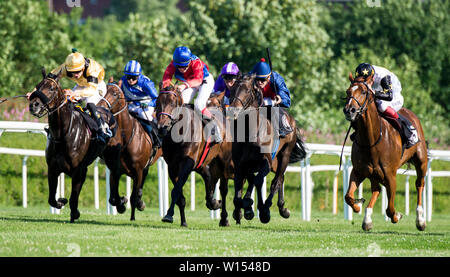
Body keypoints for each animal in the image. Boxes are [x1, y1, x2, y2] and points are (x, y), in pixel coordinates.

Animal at [28, 68, 116, 222]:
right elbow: (51, 198)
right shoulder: (53, 169)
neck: (62, 134)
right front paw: (61, 201)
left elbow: (74, 197)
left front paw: (75, 213)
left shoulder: (79, 171)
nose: (34, 105)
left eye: (51, 88)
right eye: (37, 86)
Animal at [97, 80, 163, 220]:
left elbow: (133, 197)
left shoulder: (137, 171)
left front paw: (132, 216)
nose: (101, 106)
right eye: (103, 91)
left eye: (115, 94)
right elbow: (113, 198)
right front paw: (122, 203)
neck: (125, 139)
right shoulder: (114, 170)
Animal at [156, 83, 232, 224]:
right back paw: (212, 202)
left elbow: (176, 190)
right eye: (157, 102)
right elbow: (179, 195)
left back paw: (224, 218)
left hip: (223, 161)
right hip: (203, 163)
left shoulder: (187, 163)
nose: (161, 127)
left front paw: (168, 214)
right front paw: (183, 221)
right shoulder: (172, 167)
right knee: (208, 177)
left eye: (173, 103)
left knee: (223, 189)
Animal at [230, 74, 308, 223]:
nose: (233, 111)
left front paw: (260, 209)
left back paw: (271, 207)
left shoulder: (265, 162)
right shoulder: (240, 164)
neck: (251, 133)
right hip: (274, 162)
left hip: (284, 156)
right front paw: (242, 209)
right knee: (279, 178)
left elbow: (258, 181)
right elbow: (242, 187)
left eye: (247, 90)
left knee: (276, 181)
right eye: (233, 88)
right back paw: (280, 208)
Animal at [342, 72, 428, 230]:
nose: (349, 110)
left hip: (421, 162)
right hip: (373, 173)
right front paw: (358, 206)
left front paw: (397, 216)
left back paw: (420, 220)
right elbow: (348, 196)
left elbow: (389, 209)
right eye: (347, 91)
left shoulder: (390, 176)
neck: (371, 140)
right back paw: (367, 219)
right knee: (376, 189)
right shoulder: (358, 171)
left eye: (364, 92)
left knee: (419, 184)